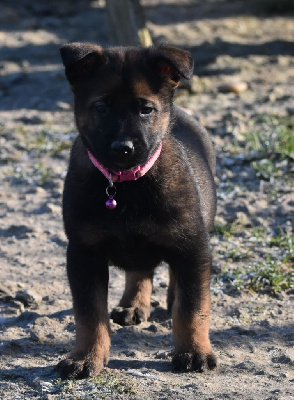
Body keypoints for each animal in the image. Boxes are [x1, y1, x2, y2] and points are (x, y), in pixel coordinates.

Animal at [57, 42, 217, 380]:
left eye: (146, 109)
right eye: (101, 107)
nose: (123, 148)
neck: (124, 184)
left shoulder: (192, 243)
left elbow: (193, 307)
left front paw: (193, 352)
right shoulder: (83, 252)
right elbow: (89, 314)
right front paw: (86, 357)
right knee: (139, 270)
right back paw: (133, 304)